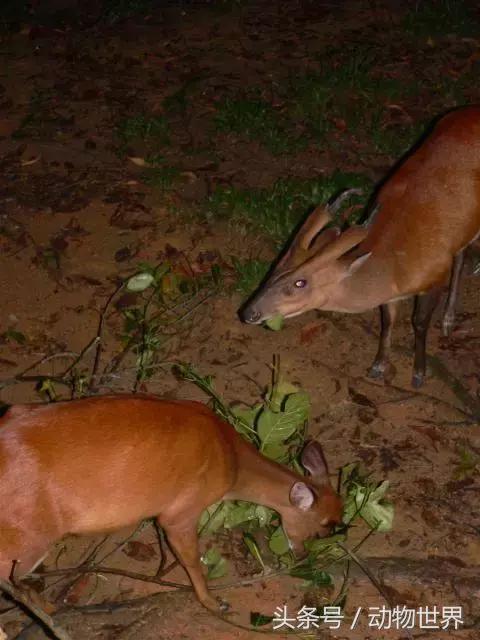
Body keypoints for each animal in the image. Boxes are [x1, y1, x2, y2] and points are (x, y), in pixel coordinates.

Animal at [0, 396, 342, 608]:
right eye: (324, 526)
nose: (303, 556)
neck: (232, 460)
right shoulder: (181, 511)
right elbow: (192, 560)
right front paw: (214, 603)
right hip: (28, 540)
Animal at [242, 105, 480, 388]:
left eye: (300, 282)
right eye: (275, 268)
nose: (248, 313)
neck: (394, 262)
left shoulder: (434, 274)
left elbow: (419, 322)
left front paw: (419, 373)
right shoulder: (392, 294)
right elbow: (388, 320)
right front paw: (378, 366)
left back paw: (448, 319)